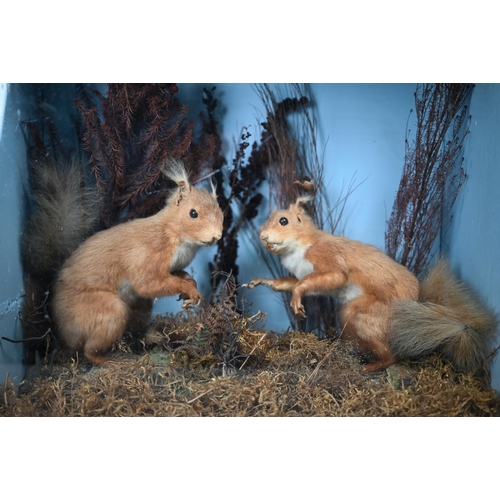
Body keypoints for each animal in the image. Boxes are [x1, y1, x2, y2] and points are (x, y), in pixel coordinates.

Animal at [248, 184, 498, 372]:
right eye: (268, 218)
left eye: (284, 221)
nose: (263, 236)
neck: (298, 248)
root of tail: (415, 302)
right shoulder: (302, 274)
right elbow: (292, 283)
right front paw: (261, 282)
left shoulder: (326, 257)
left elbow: (329, 278)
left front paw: (297, 301)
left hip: (363, 315)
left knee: (391, 355)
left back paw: (370, 366)